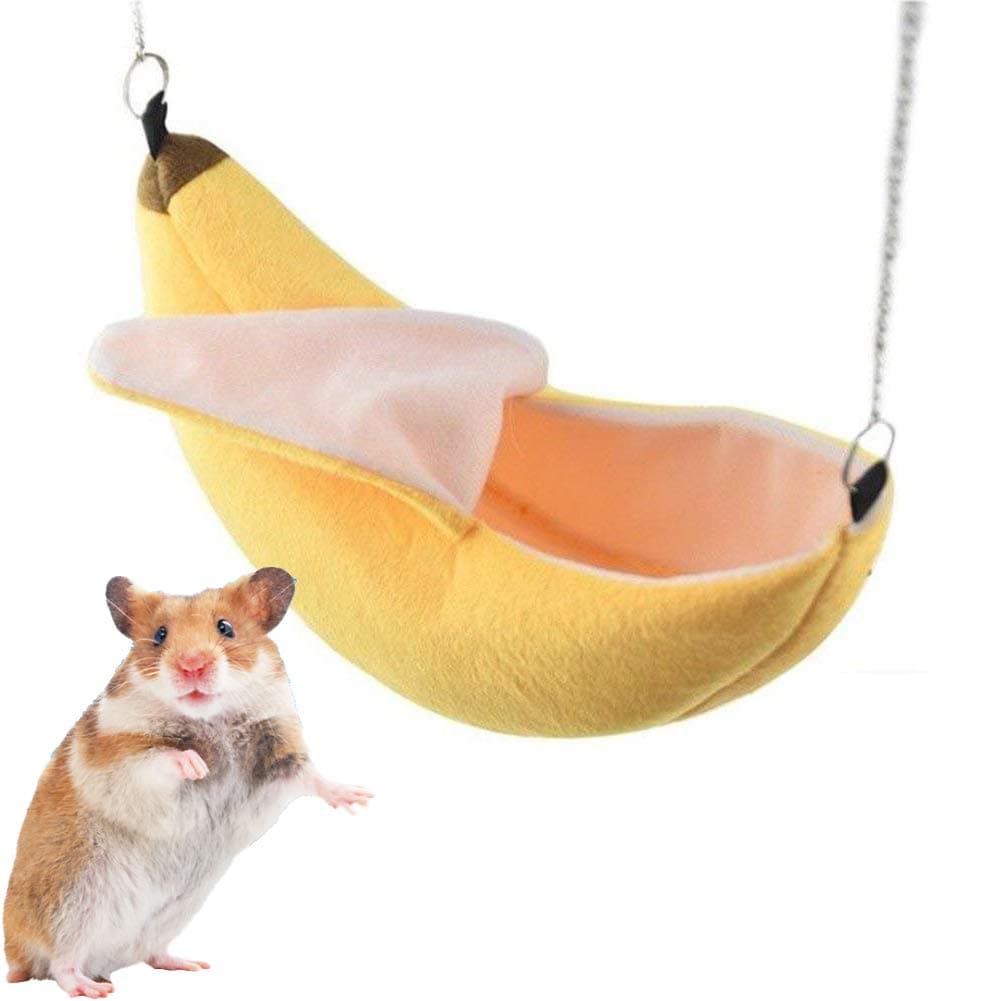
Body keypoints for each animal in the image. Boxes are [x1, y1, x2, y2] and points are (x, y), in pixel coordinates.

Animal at [3, 568, 372, 998]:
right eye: (160, 635)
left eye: (226, 628)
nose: (192, 666)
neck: (211, 718)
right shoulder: (119, 757)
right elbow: (161, 757)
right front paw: (197, 765)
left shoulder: (279, 754)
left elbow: (311, 776)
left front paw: (359, 798)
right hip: (72, 901)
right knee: (60, 964)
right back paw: (91, 988)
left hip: (171, 914)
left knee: (150, 953)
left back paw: (189, 965)